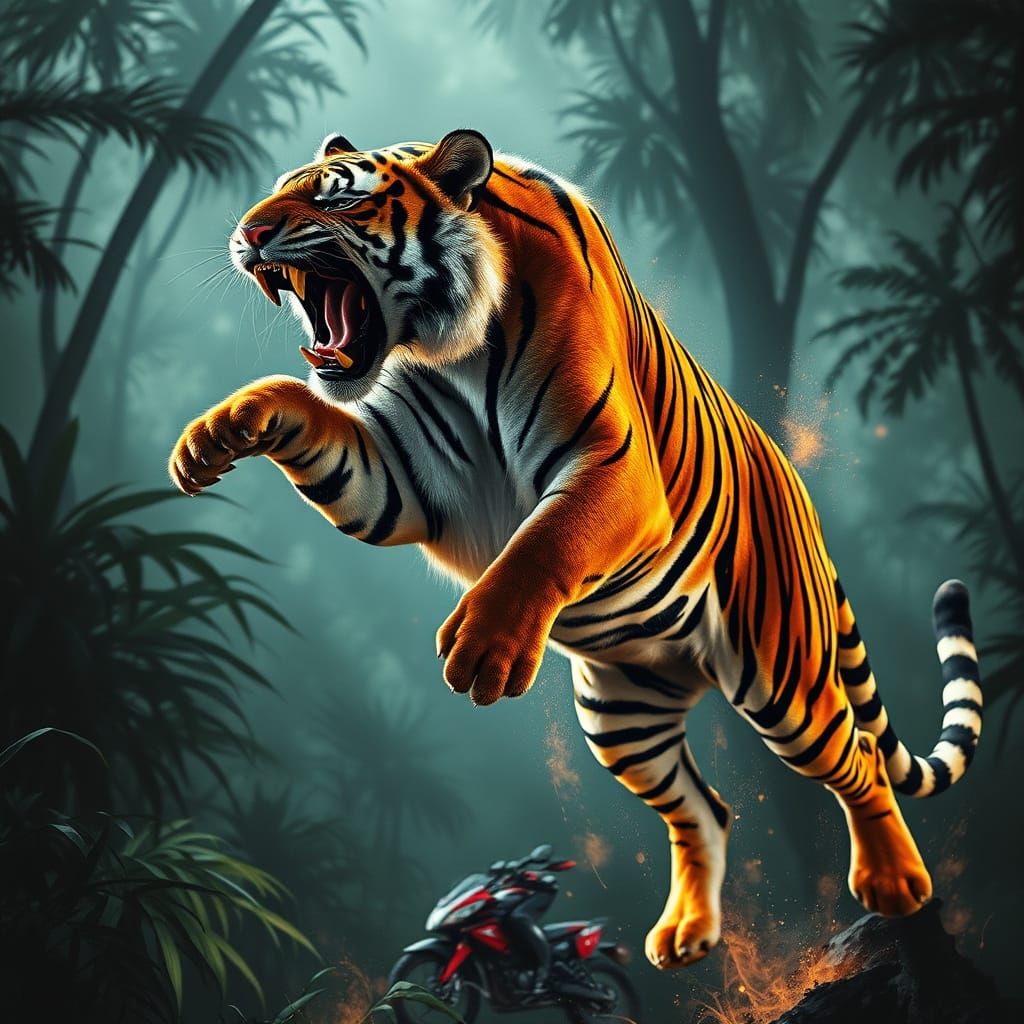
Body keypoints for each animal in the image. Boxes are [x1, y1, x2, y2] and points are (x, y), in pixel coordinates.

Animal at [170, 129, 983, 969]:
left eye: (337, 197)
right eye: (277, 188)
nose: (247, 234)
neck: (447, 356)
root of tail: (800, 498)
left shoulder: (616, 467)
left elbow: (547, 539)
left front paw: (485, 647)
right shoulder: (402, 477)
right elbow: (301, 405)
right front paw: (215, 435)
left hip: (783, 681)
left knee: (858, 761)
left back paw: (894, 884)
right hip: (620, 715)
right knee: (704, 809)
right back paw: (686, 933)